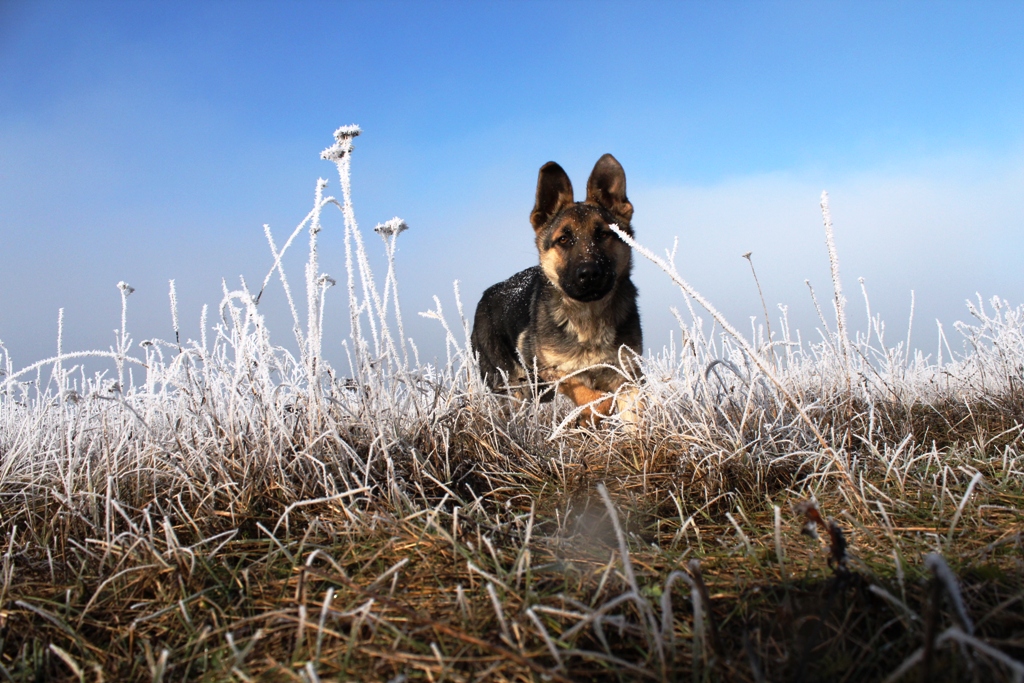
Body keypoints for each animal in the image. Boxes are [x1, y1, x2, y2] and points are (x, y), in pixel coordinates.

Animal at [468, 154, 638, 421]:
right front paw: (595, 411)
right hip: (513, 387)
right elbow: (595, 398)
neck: (589, 318)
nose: (589, 274)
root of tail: (485, 297)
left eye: (602, 234)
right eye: (564, 239)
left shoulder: (626, 374)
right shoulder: (552, 370)